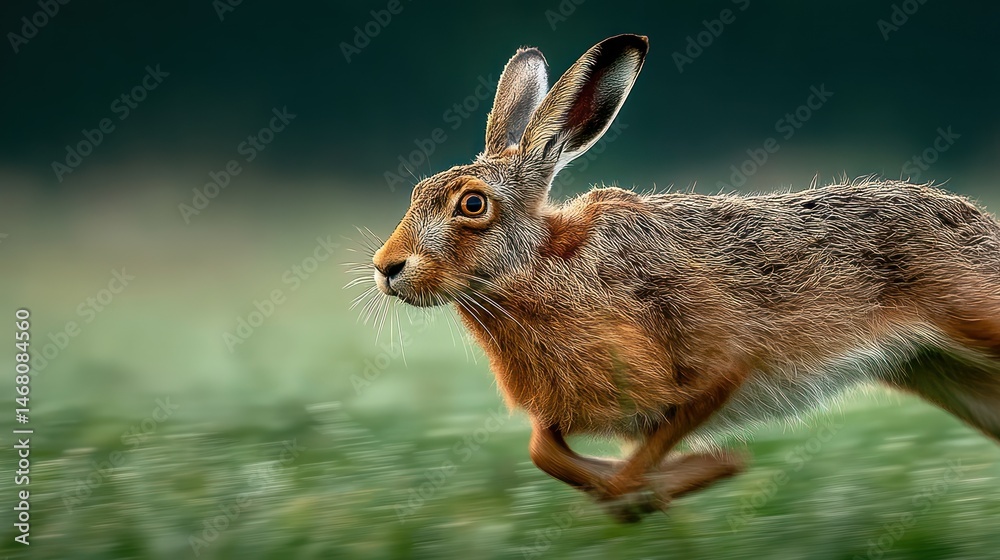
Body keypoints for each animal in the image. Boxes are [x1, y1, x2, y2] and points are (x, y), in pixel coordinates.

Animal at [366, 33, 1000, 522]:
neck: (542, 266)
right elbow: (543, 449)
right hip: (947, 374)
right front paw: (652, 488)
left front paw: (675, 483)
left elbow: (655, 444)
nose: (386, 267)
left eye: (472, 205)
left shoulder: (717, 368)